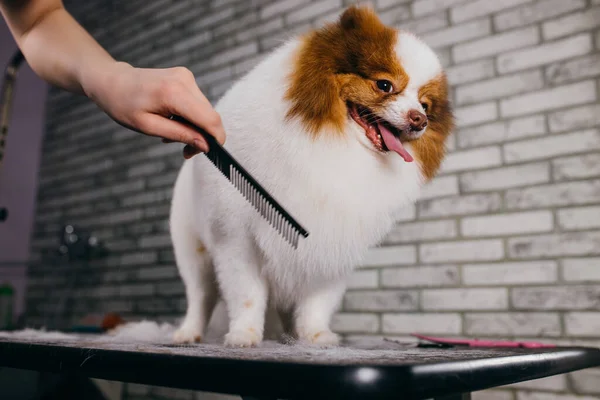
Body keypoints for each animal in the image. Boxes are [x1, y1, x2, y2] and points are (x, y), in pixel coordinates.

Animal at [169, 4, 454, 346]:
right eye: (384, 85)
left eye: (425, 104)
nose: (419, 120)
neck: (335, 143)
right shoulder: (236, 238)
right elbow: (247, 294)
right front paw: (244, 334)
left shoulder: (331, 242)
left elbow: (317, 300)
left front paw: (315, 335)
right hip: (193, 250)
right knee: (200, 295)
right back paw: (188, 332)